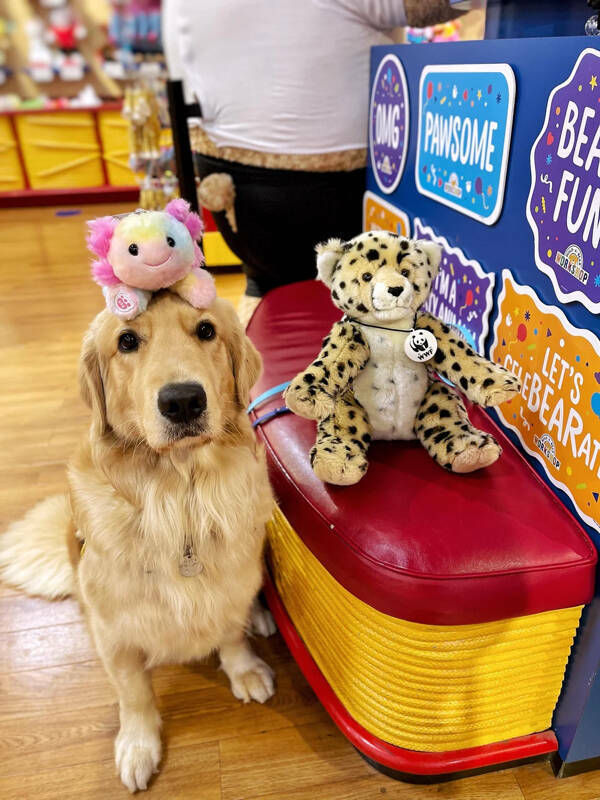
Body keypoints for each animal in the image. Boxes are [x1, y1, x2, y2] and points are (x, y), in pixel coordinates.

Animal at [0, 290, 276, 792]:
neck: (180, 498)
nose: (183, 401)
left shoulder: (227, 589)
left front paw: (243, 668)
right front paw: (138, 744)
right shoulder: (115, 633)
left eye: (206, 331)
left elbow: (230, 633)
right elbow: (134, 693)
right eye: (126, 341)